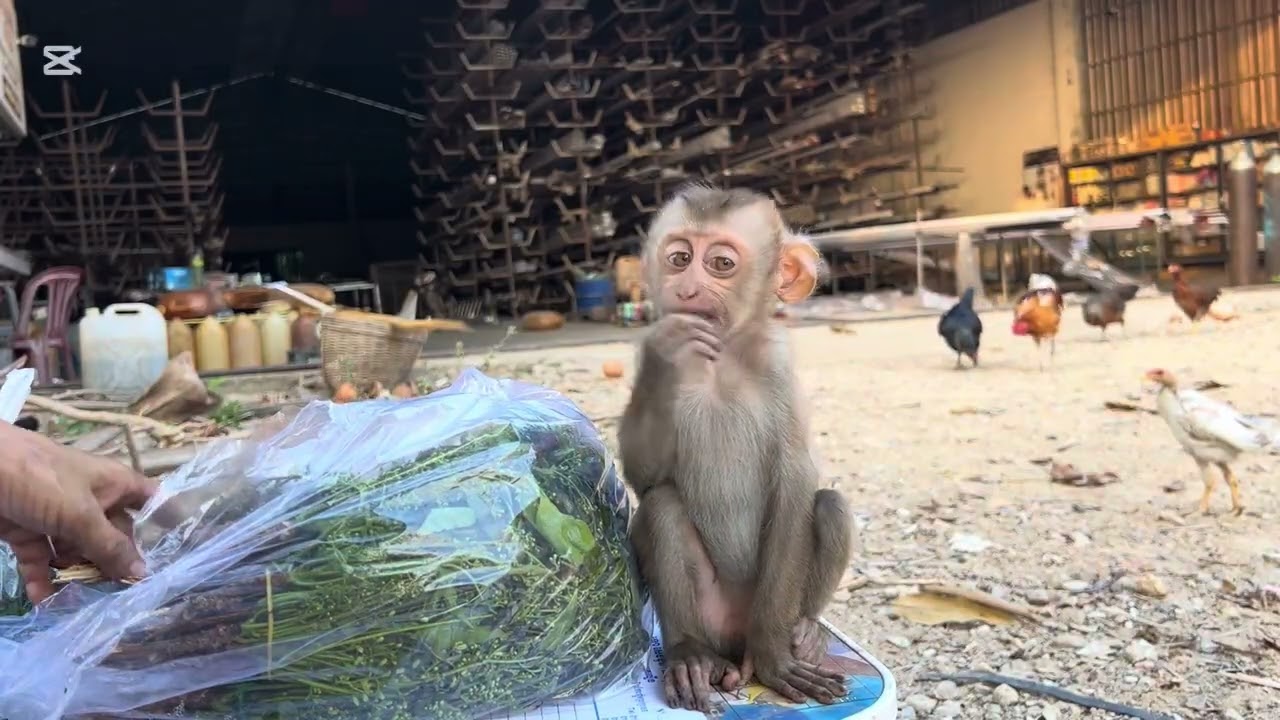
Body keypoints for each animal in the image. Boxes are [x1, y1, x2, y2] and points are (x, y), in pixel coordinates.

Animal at [618, 184, 854, 713]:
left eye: (720, 264)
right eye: (680, 258)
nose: (686, 290)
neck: (722, 356)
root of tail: (729, 640)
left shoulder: (778, 363)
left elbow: (795, 484)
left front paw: (772, 656)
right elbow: (645, 478)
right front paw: (667, 350)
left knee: (830, 503)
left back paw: (805, 632)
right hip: (709, 615)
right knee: (662, 504)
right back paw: (691, 657)